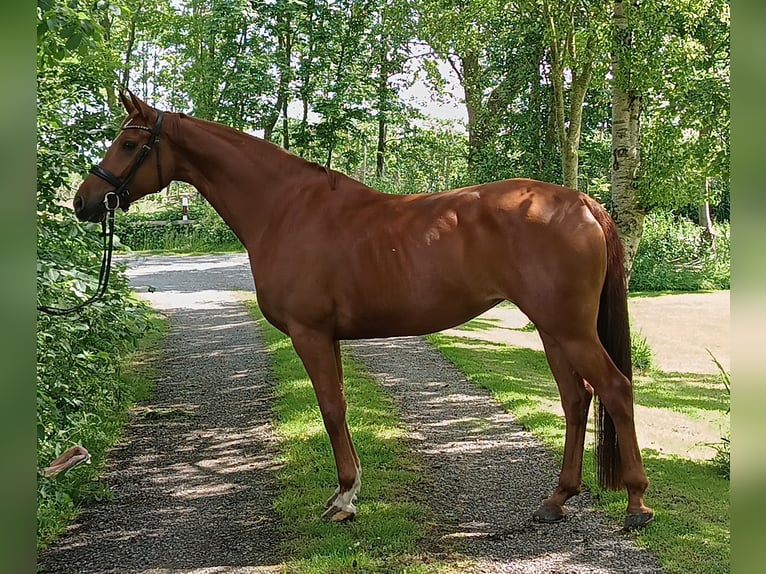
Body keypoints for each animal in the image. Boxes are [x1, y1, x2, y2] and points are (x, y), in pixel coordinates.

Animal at [73, 91, 656, 532]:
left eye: (129, 143)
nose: (83, 201)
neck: (285, 209)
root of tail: (582, 203)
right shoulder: (326, 336)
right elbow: (340, 408)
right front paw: (347, 493)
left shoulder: (309, 333)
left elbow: (331, 410)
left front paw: (344, 499)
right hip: (553, 330)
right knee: (576, 400)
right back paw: (556, 500)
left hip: (569, 329)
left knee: (614, 389)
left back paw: (636, 505)